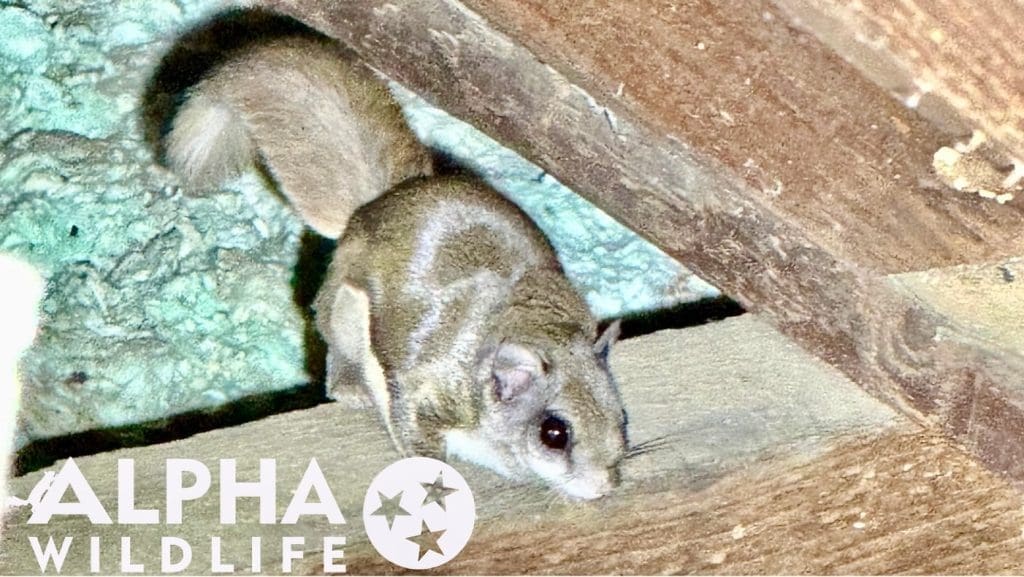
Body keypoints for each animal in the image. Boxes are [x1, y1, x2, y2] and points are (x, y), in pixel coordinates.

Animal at [165, 34, 627, 500]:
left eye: (622, 417)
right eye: (554, 433)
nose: (605, 487)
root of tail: (376, 206)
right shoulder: (428, 388)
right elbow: (416, 432)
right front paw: (436, 488)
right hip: (346, 312)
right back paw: (352, 387)